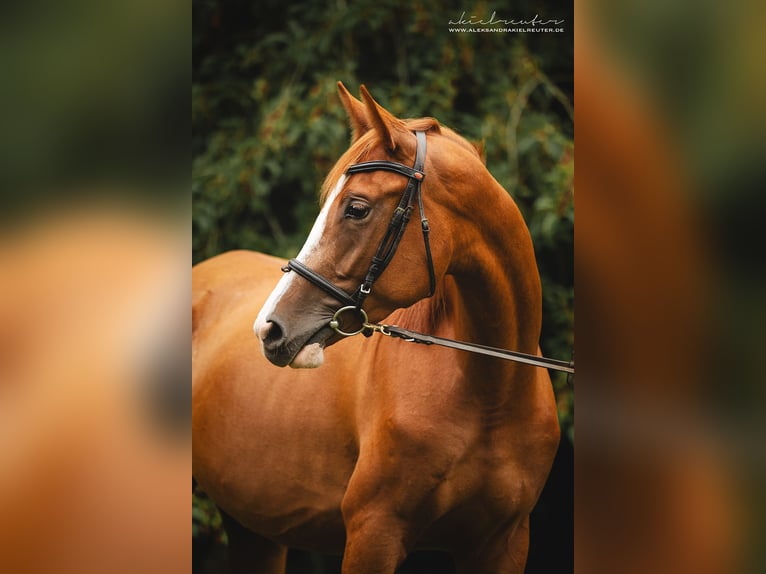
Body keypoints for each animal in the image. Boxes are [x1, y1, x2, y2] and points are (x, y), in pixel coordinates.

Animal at [195, 83, 560, 572]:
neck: (492, 395)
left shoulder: (504, 542)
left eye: (356, 208)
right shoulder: (375, 532)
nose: (268, 329)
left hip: (253, 527)